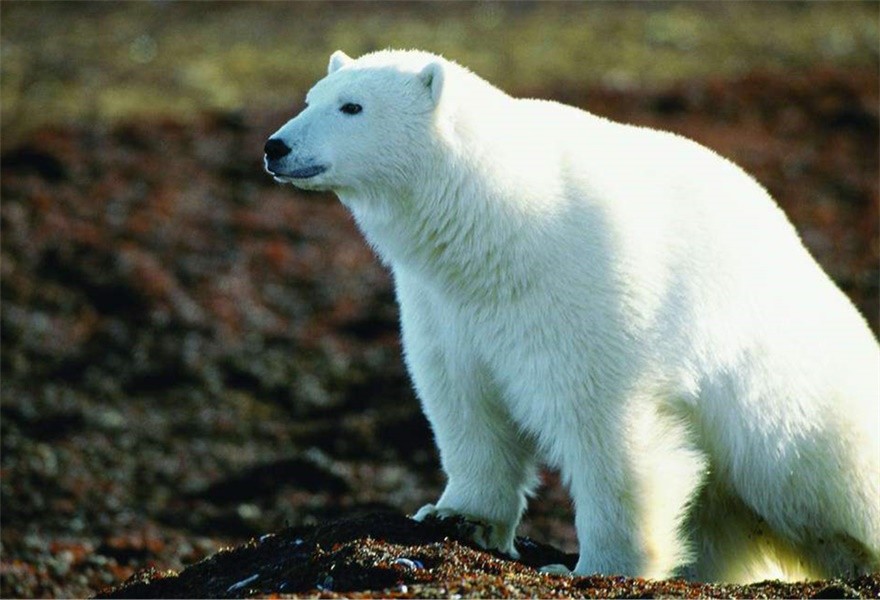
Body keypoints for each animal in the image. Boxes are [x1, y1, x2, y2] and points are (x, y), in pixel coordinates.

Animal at [266, 49, 880, 584]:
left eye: (353, 106)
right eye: (311, 96)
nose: (276, 146)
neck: (502, 230)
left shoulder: (586, 290)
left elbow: (607, 430)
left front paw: (596, 568)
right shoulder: (442, 305)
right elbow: (464, 402)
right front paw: (456, 517)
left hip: (798, 409)